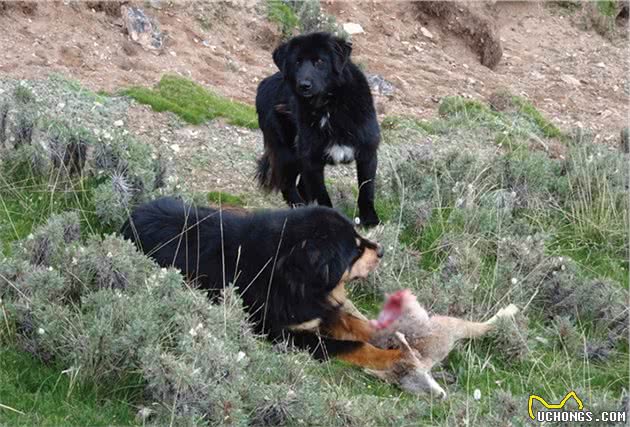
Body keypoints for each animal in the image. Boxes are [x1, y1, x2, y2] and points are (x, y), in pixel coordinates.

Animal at [123, 197, 404, 372]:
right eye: (355, 250)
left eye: (360, 237)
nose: (381, 251)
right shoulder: (288, 335)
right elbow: (353, 345)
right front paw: (396, 358)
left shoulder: (318, 309)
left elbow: (355, 323)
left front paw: (389, 334)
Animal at [256, 32, 380, 227]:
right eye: (297, 62)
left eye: (320, 61)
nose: (304, 85)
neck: (328, 106)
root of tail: (264, 83)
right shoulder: (312, 161)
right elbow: (322, 196)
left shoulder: (367, 153)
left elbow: (366, 190)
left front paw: (370, 220)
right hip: (288, 153)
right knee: (288, 186)